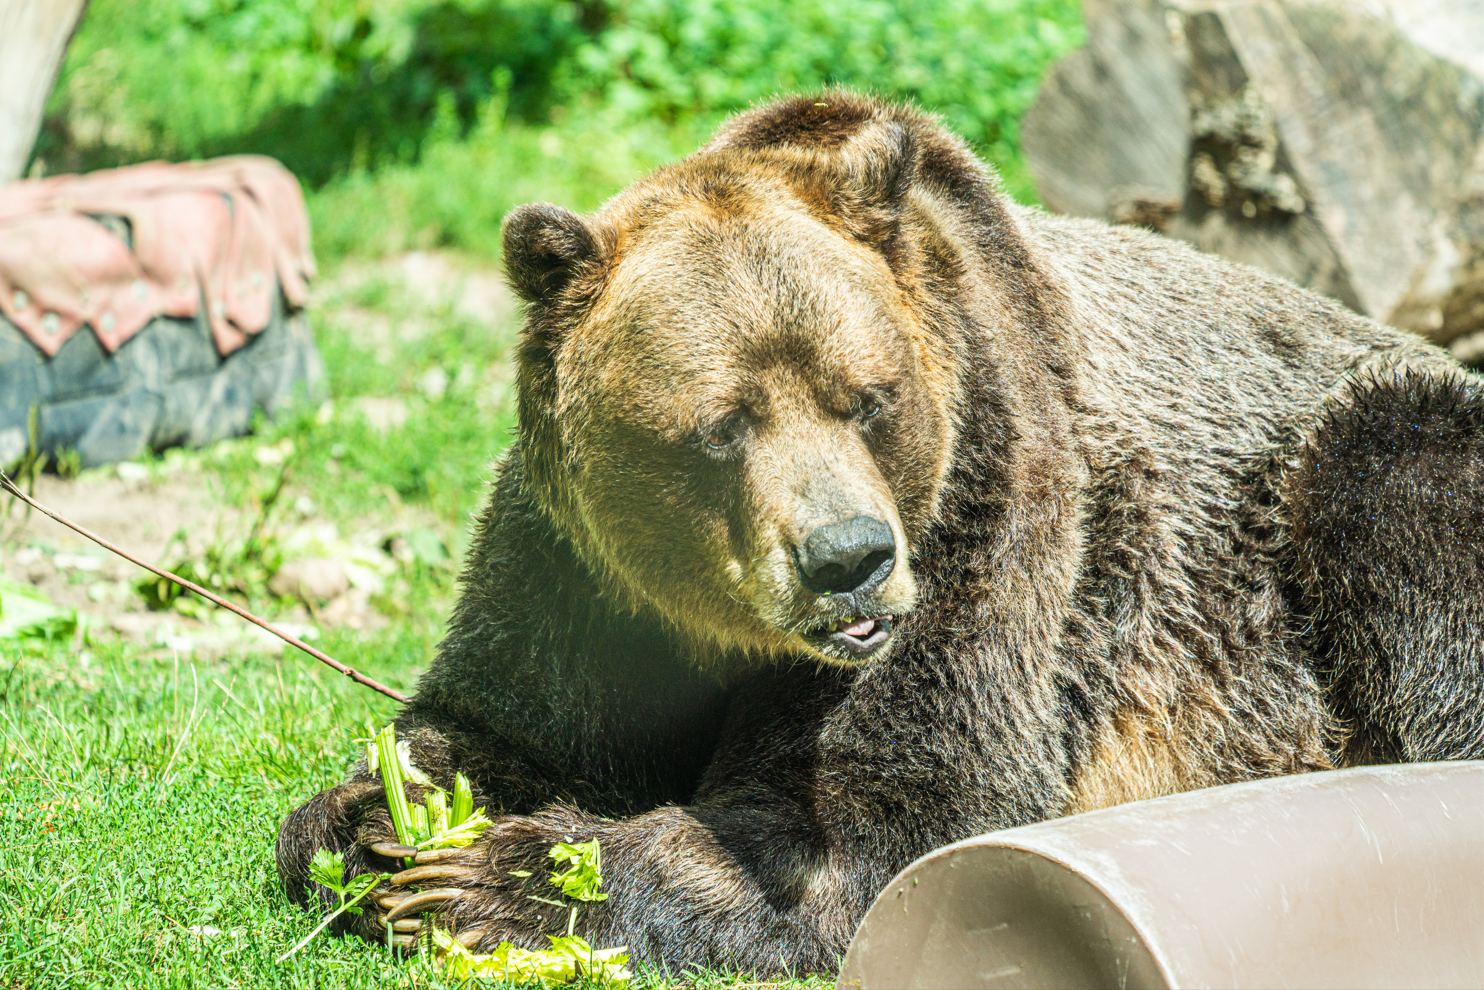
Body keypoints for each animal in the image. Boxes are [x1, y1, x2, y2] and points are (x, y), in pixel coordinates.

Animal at [275, 91, 1484, 976]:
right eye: (721, 425)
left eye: (865, 397)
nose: (847, 561)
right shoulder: (580, 571)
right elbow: (492, 717)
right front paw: (369, 824)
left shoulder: (984, 513)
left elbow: (882, 827)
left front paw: (504, 879)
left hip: (1361, 468)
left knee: (1386, 494)